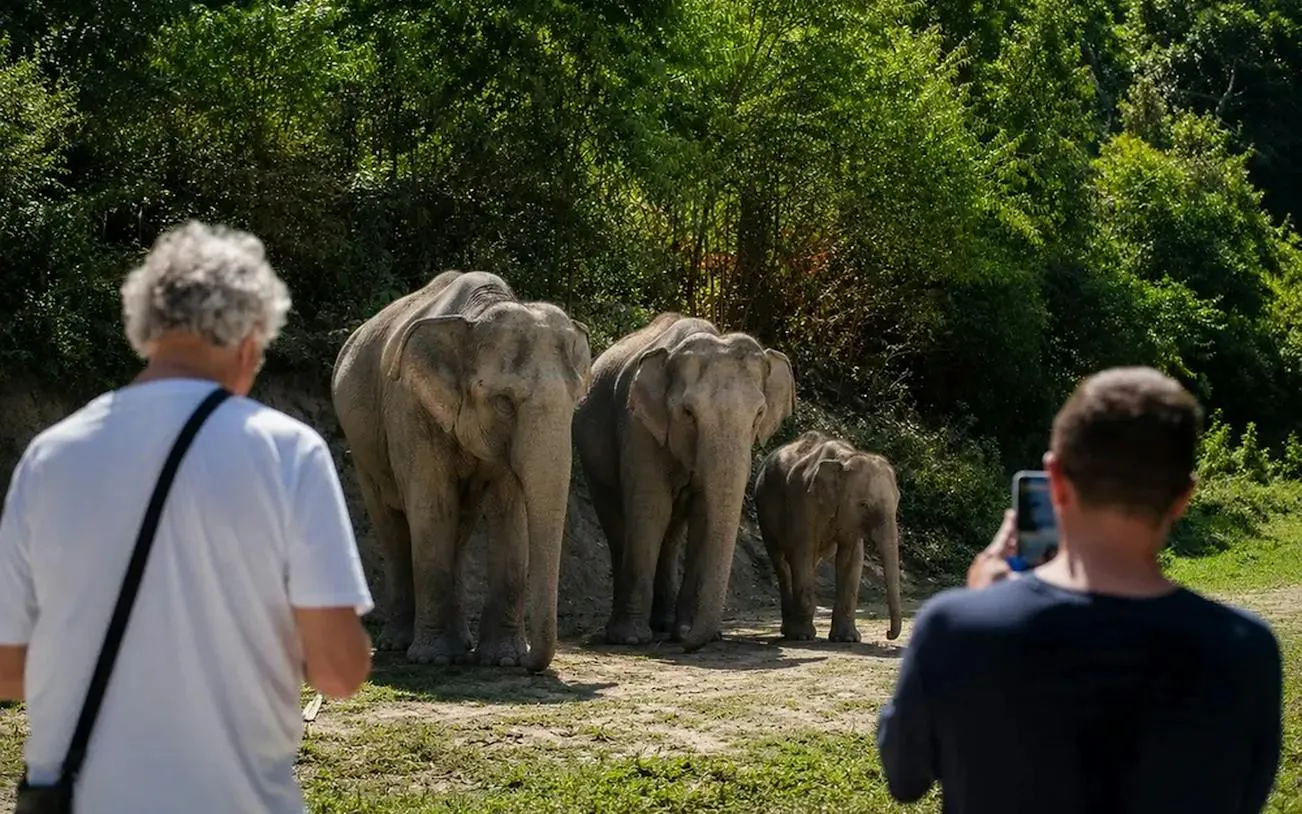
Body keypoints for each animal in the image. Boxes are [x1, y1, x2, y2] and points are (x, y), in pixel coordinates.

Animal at [331, 270, 592, 673]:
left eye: (576, 402)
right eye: (503, 402)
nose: (533, 663)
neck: (477, 313)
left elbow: (510, 510)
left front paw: (503, 659)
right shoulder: (410, 407)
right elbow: (432, 503)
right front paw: (435, 659)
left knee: (462, 524)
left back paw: (462, 642)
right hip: (362, 448)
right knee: (391, 525)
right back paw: (399, 643)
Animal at [573, 312, 796, 652]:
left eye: (759, 414)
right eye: (688, 413)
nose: (687, 639)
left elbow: (704, 515)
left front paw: (688, 630)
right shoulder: (638, 427)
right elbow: (651, 509)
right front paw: (632, 638)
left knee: (672, 533)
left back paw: (663, 625)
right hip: (591, 458)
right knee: (618, 523)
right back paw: (629, 631)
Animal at [754, 430, 902, 643]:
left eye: (898, 500)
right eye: (864, 504)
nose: (888, 634)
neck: (844, 458)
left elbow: (851, 559)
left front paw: (847, 639)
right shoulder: (802, 500)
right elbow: (802, 551)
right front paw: (802, 636)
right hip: (764, 516)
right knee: (783, 563)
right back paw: (790, 632)